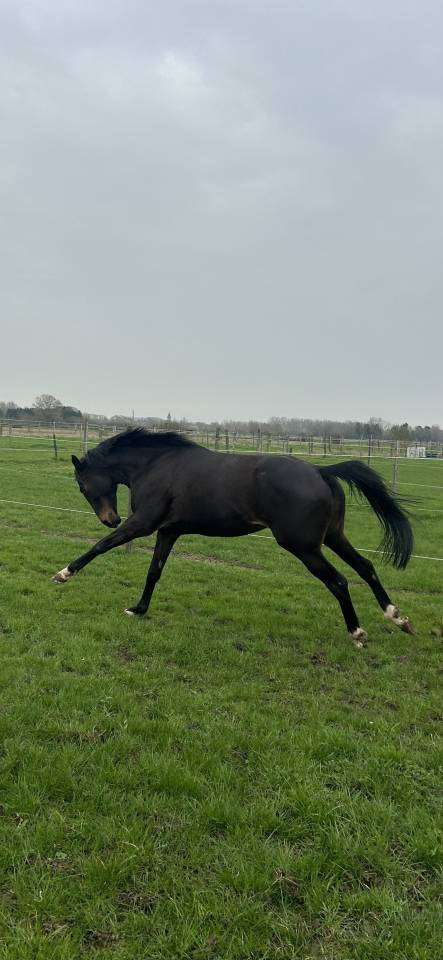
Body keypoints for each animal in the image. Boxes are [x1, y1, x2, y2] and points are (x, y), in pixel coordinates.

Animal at [52, 429, 414, 646]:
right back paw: (398, 617)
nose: (109, 520)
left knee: (339, 581)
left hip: (303, 546)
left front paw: (63, 574)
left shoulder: (143, 523)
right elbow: (154, 572)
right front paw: (138, 609)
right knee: (366, 567)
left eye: (82, 485)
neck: (156, 465)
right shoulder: (169, 531)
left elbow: (101, 547)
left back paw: (357, 632)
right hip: (332, 537)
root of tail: (320, 471)